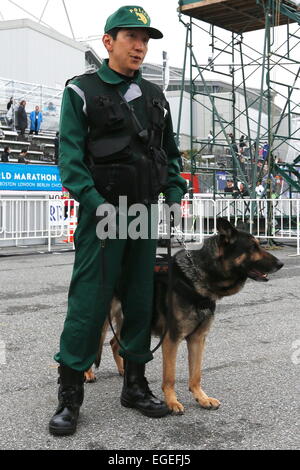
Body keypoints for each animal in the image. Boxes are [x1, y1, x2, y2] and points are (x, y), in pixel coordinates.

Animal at [85, 218, 284, 414]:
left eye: (258, 245)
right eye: (252, 247)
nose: (280, 264)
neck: (199, 275)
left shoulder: (197, 339)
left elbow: (196, 374)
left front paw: (202, 398)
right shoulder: (171, 339)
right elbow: (170, 376)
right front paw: (172, 402)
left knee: (113, 343)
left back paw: (123, 370)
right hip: (101, 318)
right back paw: (88, 373)